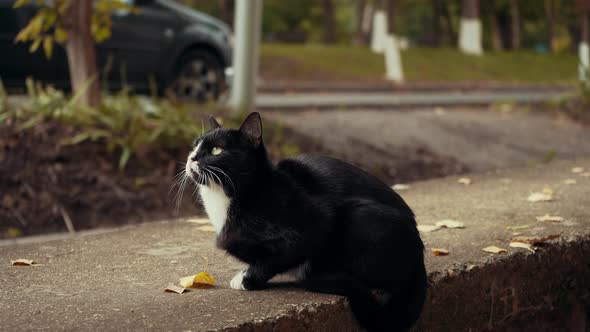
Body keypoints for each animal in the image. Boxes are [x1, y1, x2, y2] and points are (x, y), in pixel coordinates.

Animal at [184, 113, 426, 330]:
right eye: (194, 146)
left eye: (216, 150)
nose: (191, 158)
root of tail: (419, 255)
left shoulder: (315, 224)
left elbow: (281, 256)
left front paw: (247, 279)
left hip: (359, 215)